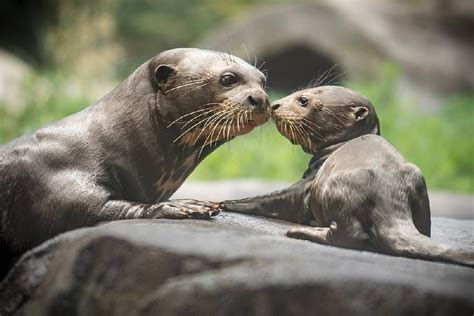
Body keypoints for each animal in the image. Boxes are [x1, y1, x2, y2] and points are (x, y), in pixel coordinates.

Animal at [0, 47, 270, 274]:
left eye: (263, 81)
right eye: (229, 78)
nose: (261, 99)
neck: (113, 139)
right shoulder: (53, 180)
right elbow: (89, 208)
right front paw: (183, 206)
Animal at [220, 85, 472, 266]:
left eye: (304, 100)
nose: (275, 104)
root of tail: (389, 197)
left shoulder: (309, 181)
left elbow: (270, 198)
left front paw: (226, 203)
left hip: (333, 188)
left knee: (349, 236)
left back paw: (304, 231)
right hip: (417, 179)